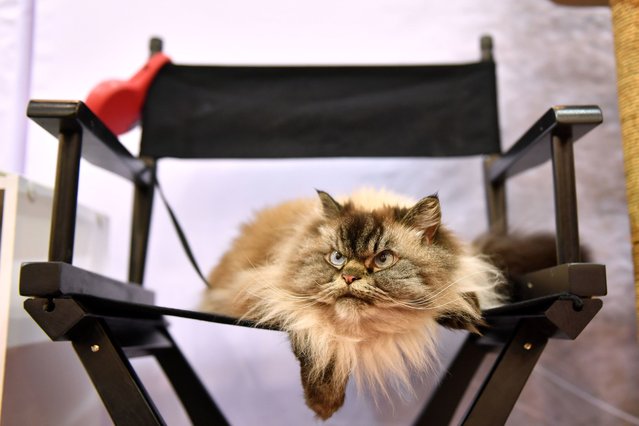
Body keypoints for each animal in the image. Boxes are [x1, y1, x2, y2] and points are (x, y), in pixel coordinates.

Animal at [202, 190, 508, 420]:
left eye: (383, 259)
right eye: (337, 258)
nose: (349, 277)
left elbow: (458, 298)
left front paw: (463, 312)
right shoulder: (280, 302)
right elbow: (321, 350)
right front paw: (323, 404)